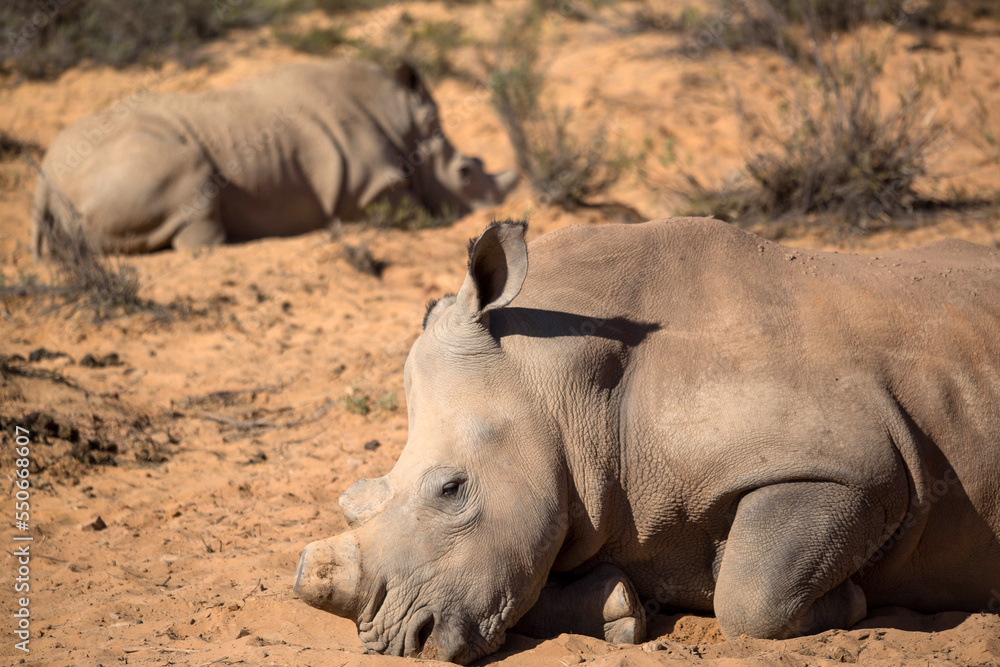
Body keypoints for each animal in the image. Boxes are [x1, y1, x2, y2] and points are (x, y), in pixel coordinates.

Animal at [31, 60, 517, 255]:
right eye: (465, 172)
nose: (497, 206)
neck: (405, 125)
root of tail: (45, 179)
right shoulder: (368, 187)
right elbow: (415, 211)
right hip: (135, 162)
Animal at [293, 217, 1000, 663]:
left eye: (451, 489)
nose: (395, 642)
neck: (557, 381)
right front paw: (617, 608)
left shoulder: (856, 468)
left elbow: (749, 598)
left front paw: (853, 600)